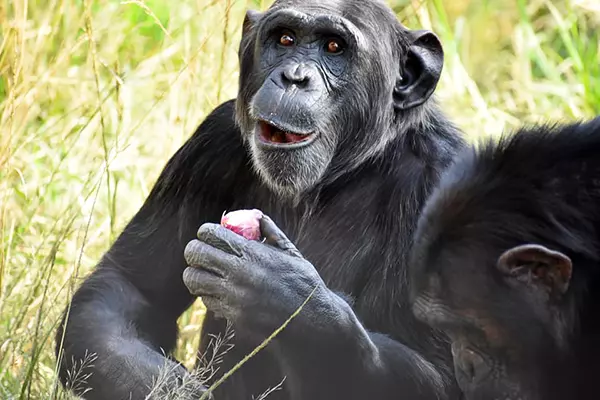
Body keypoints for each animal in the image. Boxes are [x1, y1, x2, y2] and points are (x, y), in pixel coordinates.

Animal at [56, 0, 466, 398]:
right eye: (285, 39)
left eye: (334, 47)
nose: (294, 77)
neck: (335, 175)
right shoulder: (211, 139)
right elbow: (131, 287)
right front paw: (172, 390)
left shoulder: (444, 184)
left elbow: (443, 375)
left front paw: (282, 292)